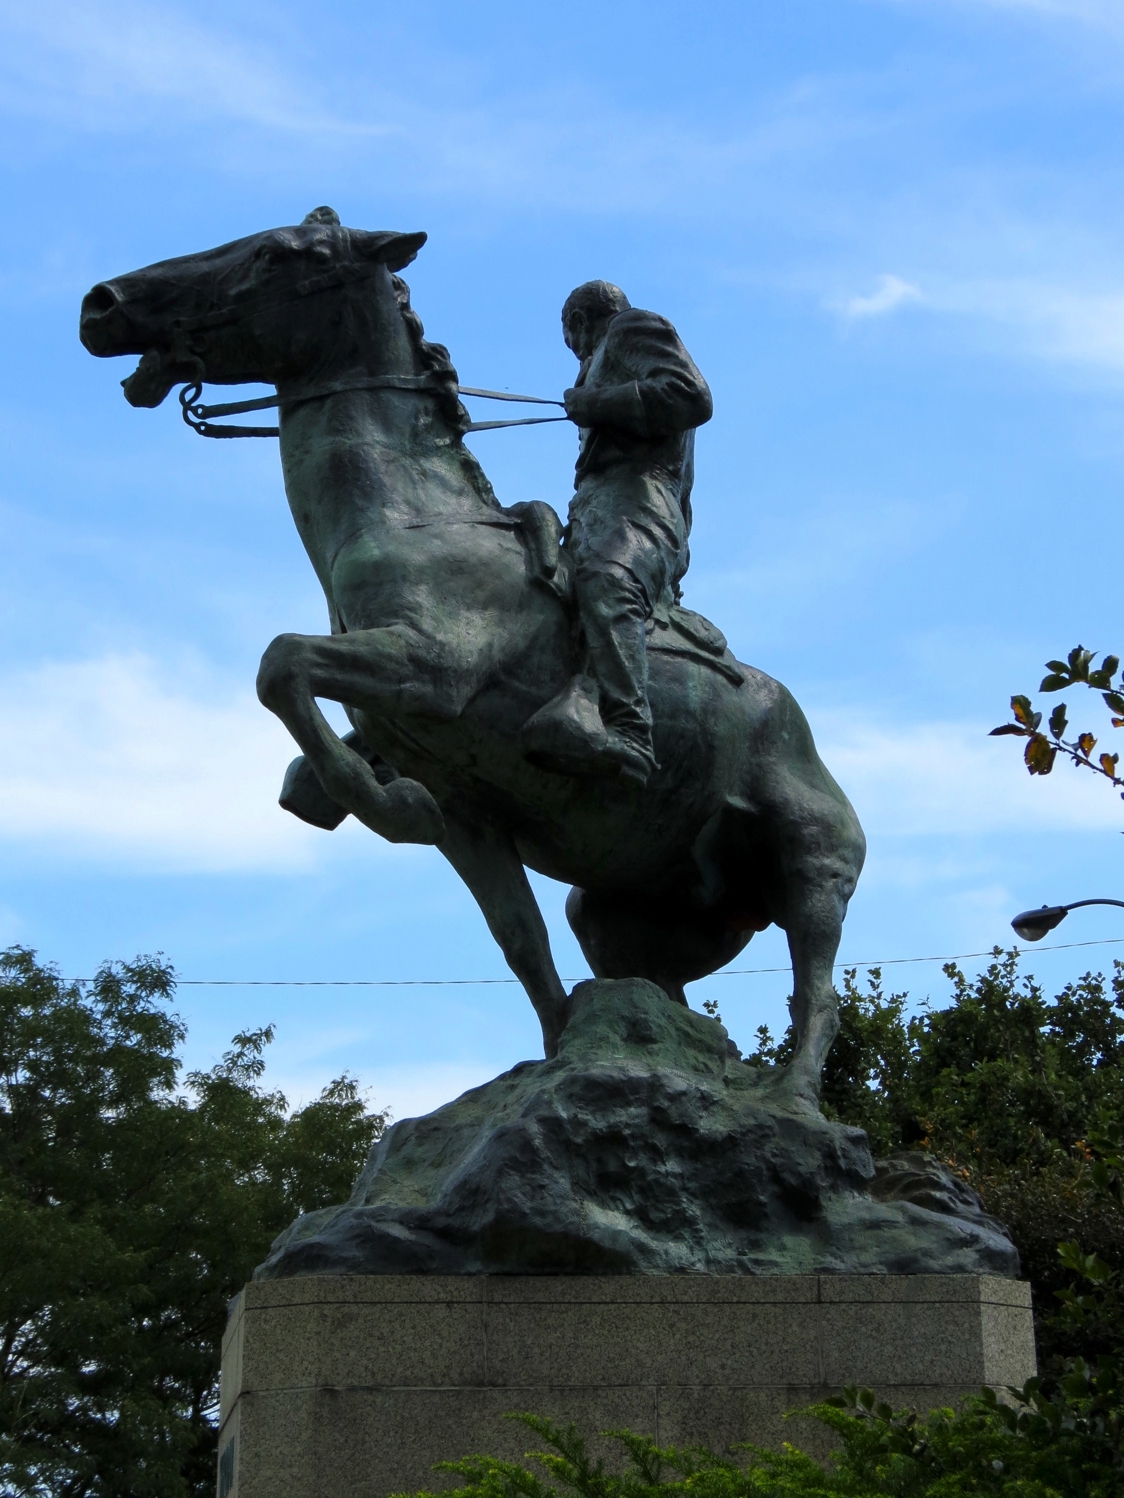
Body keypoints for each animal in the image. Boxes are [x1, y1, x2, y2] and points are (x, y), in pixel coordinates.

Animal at [79, 211, 869, 1102]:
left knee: (816, 988)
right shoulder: (471, 814)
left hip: (810, 867)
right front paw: (556, 1052)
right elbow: (520, 940)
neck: (415, 518)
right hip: (624, 915)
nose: (101, 304)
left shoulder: (432, 670)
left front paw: (388, 804)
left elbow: (280, 662)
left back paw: (793, 1094)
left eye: (280, 254)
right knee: (665, 997)